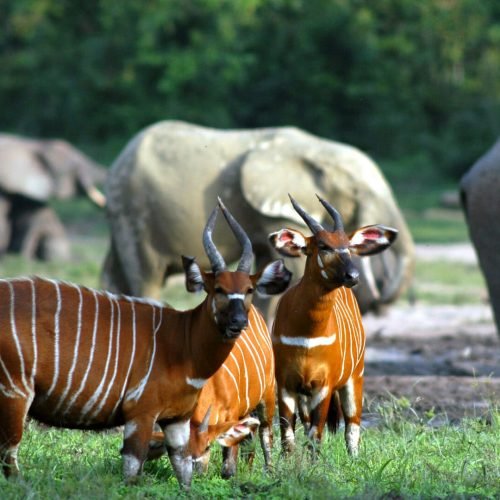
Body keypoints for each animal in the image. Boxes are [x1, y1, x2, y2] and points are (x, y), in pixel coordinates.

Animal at [101, 120, 414, 316]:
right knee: (146, 276)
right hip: (134, 212)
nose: (377, 301)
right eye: (359, 193)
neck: (316, 148)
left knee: (116, 275)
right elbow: (292, 267)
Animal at [147, 302, 278, 478]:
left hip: (268, 394)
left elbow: (228, 466)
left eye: (207, 446)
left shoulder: (232, 413)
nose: (197, 472)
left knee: (265, 432)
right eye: (181, 451)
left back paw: (269, 471)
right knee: (250, 432)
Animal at [270, 194, 398, 458]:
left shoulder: (324, 385)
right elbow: (288, 437)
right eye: (324, 246)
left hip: (355, 378)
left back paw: (354, 459)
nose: (353, 276)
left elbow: (316, 435)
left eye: (348, 246)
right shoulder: (286, 383)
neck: (307, 335)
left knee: (352, 426)